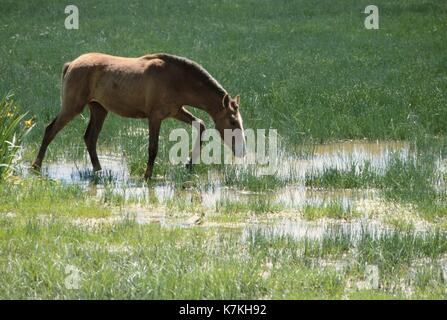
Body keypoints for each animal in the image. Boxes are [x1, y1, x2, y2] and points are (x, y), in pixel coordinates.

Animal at [32, 51, 247, 179]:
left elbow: (200, 124)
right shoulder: (155, 117)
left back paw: (99, 170)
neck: (178, 81)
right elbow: (153, 148)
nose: (242, 151)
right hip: (73, 106)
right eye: (232, 121)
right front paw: (147, 176)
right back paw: (35, 166)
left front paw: (189, 163)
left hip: (99, 109)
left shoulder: (175, 111)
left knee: (90, 138)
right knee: (50, 130)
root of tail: (70, 64)